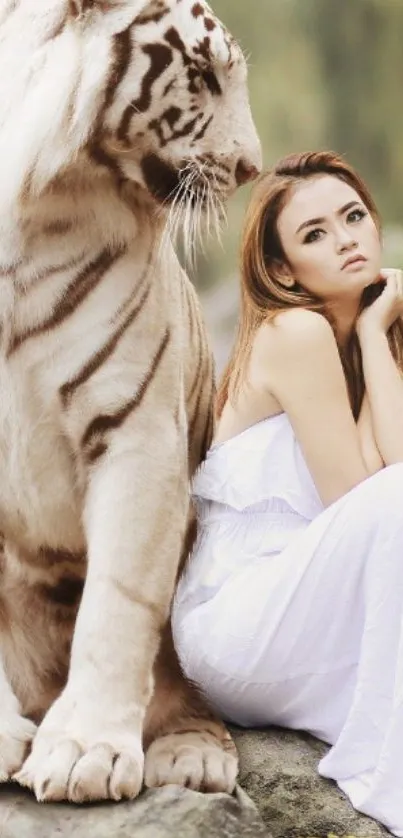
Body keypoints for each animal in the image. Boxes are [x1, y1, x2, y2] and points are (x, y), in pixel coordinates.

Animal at [0, 0, 262, 804]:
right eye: (203, 75)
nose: (253, 168)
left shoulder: (137, 432)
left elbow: (116, 604)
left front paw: (82, 753)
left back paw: (191, 757)